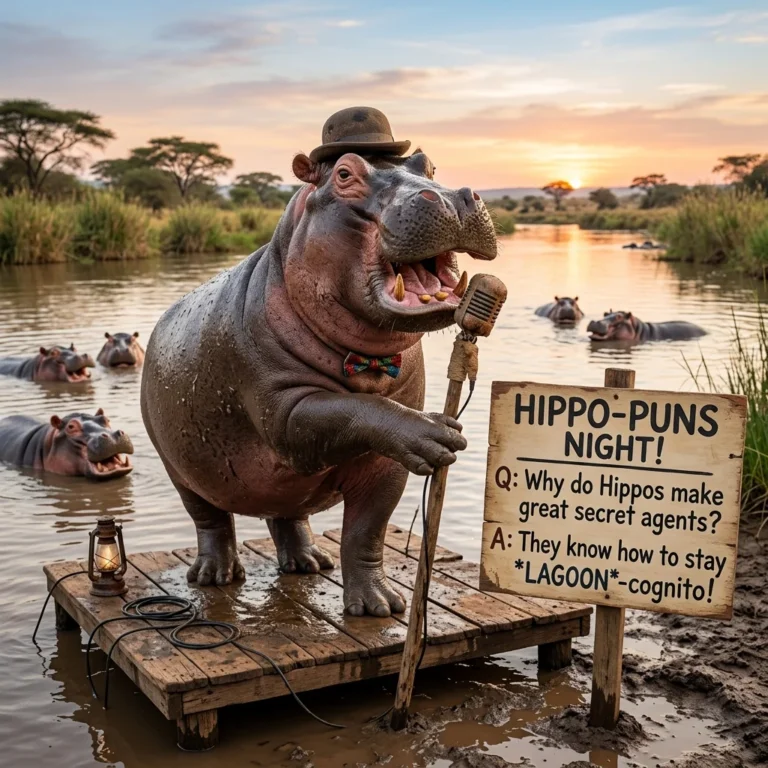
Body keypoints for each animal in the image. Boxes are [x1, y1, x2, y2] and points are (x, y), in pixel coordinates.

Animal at [141, 145, 497, 616]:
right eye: (345, 173)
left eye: (428, 164)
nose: (454, 196)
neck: (367, 360)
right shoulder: (286, 412)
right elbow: (347, 409)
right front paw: (435, 432)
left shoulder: (386, 467)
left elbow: (366, 533)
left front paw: (380, 606)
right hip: (181, 470)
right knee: (210, 521)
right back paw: (214, 576)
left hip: (282, 486)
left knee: (287, 514)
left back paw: (309, 562)